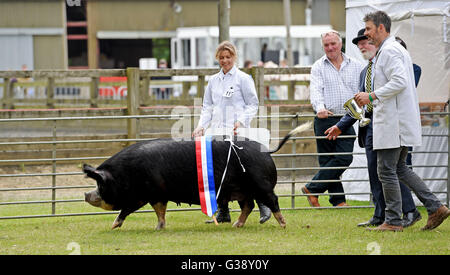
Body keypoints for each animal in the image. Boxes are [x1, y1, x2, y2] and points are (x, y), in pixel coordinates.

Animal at [83, 123, 310, 231]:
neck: (125, 174)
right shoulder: (158, 194)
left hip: (261, 185)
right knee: (248, 206)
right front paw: (159, 228)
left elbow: (128, 209)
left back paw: (283, 224)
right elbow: (160, 212)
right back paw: (236, 225)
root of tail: (266, 151)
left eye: (100, 184)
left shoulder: (144, 194)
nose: (86, 194)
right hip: (242, 189)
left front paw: (113, 226)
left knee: (272, 200)